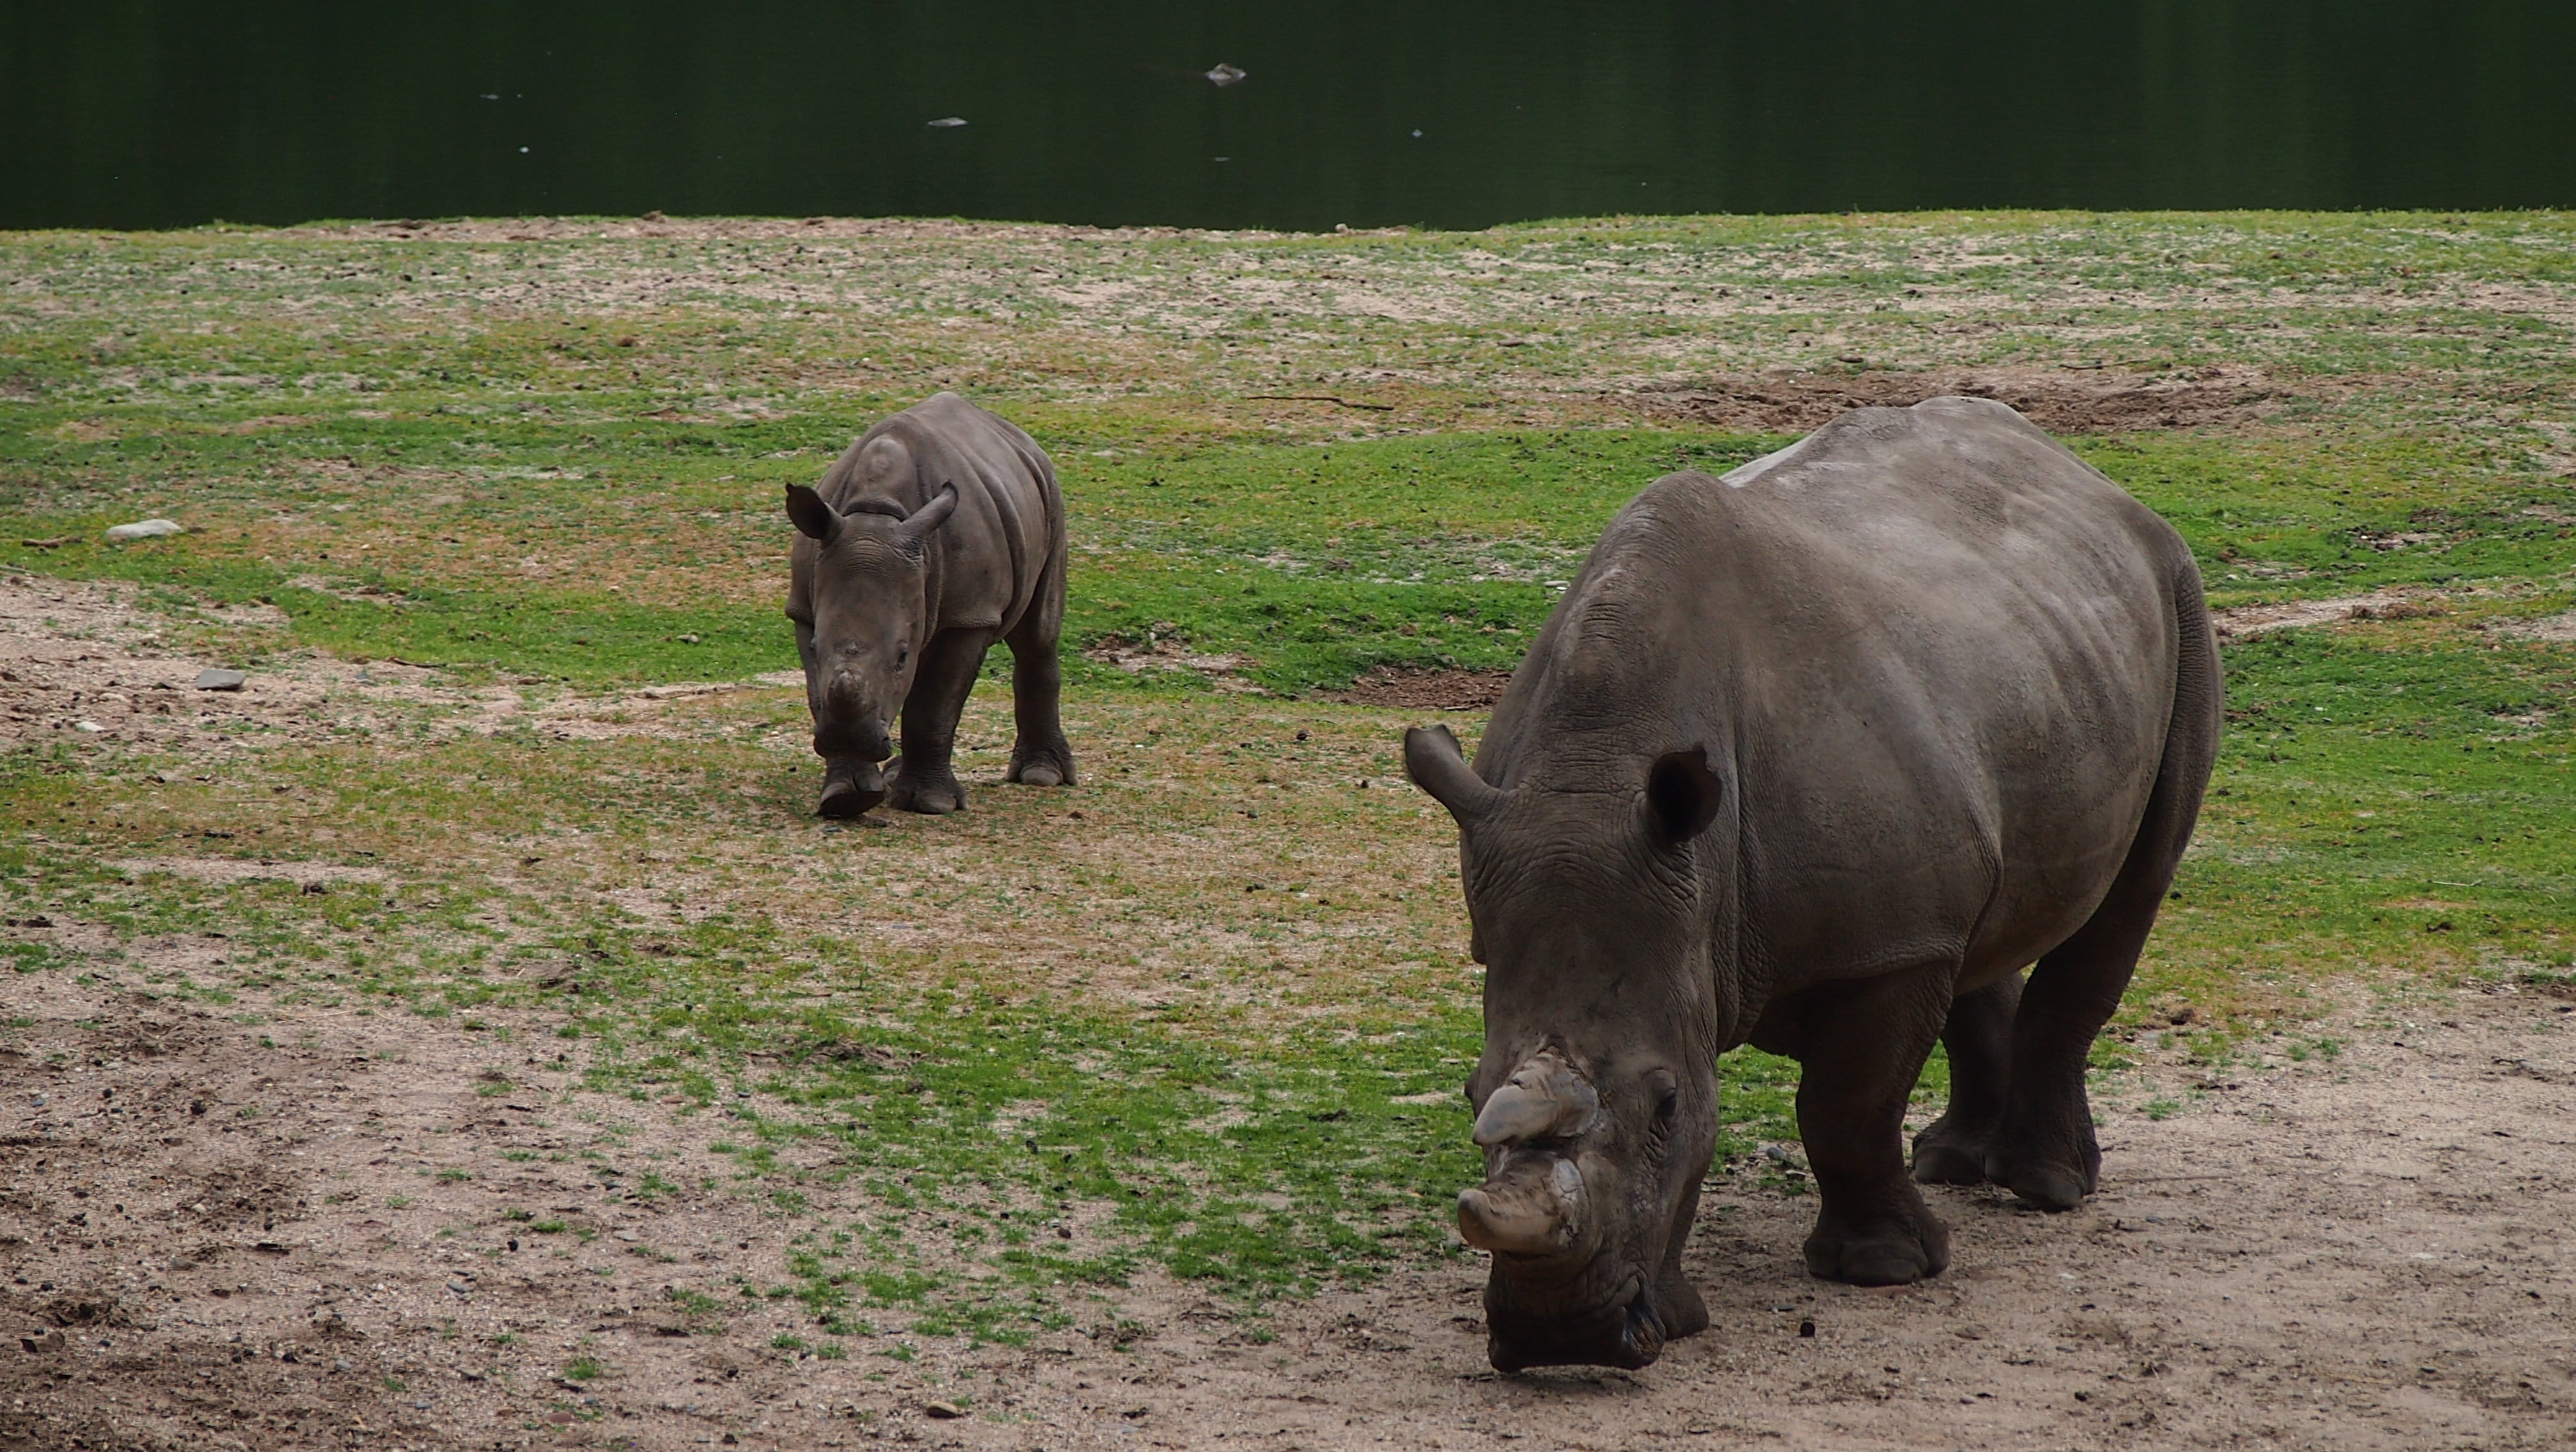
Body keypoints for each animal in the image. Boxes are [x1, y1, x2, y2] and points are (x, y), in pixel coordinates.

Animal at [785, 392, 1075, 816]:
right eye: (814, 647)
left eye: (901, 657)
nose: (850, 740)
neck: (878, 515)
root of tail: (1015, 434)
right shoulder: (804, 610)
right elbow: (818, 691)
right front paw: (846, 799)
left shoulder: (969, 615)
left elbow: (934, 708)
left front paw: (932, 804)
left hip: (1049, 489)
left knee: (1037, 636)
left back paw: (1042, 776)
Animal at [1404, 397, 2221, 1372]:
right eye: (1469, 1094)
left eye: (1666, 1105)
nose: (1560, 1339)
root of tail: (2090, 477)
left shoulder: (1882, 947)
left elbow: (1843, 1106)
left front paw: (1885, 1270)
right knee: (1980, 921)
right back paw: (1952, 1163)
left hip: (2180, 594)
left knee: (2130, 891)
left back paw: (2047, 1187)